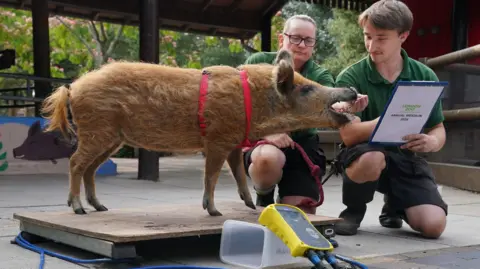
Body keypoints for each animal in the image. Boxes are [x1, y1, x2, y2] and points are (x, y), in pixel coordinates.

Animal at [41, 48, 356, 216]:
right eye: (306, 89)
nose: (351, 90)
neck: (254, 103)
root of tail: (72, 87)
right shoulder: (216, 139)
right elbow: (212, 175)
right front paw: (214, 212)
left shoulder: (233, 142)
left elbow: (239, 174)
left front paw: (251, 206)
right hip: (97, 130)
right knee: (75, 163)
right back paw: (78, 209)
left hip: (112, 138)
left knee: (90, 169)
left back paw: (100, 208)